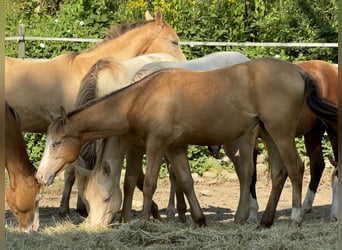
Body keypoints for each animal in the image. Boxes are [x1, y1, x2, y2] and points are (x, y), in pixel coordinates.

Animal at [57, 52, 182, 217]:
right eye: (86, 197)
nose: (84, 213)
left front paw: (152, 210)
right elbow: (70, 172)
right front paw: (64, 208)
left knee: (173, 171)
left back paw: (171, 208)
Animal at [70, 50, 251, 227]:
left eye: (105, 198)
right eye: (86, 198)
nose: (93, 226)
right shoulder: (136, 147)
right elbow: (131, 181)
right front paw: (128, 219)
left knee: (244, 171)